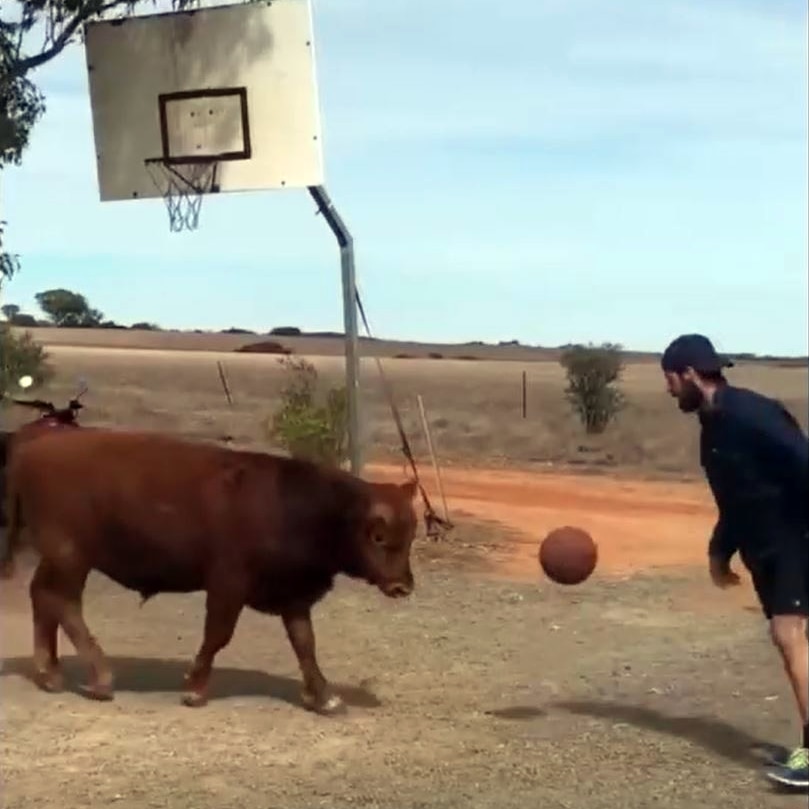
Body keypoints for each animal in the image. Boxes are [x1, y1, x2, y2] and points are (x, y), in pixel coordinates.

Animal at [4, 426, 422, 712]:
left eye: (412, 531)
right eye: (379, 535)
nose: (402, 585)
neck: (293, 503)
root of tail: (36, 443)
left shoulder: (293, 595)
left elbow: (305, 643)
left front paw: (325, 697)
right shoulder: (228, 585)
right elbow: (219, 634)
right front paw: (194, 688)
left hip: (60, 561)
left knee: (43, 597)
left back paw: (51, 674)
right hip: (71, 558)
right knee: (61, 602)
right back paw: (101, 679)